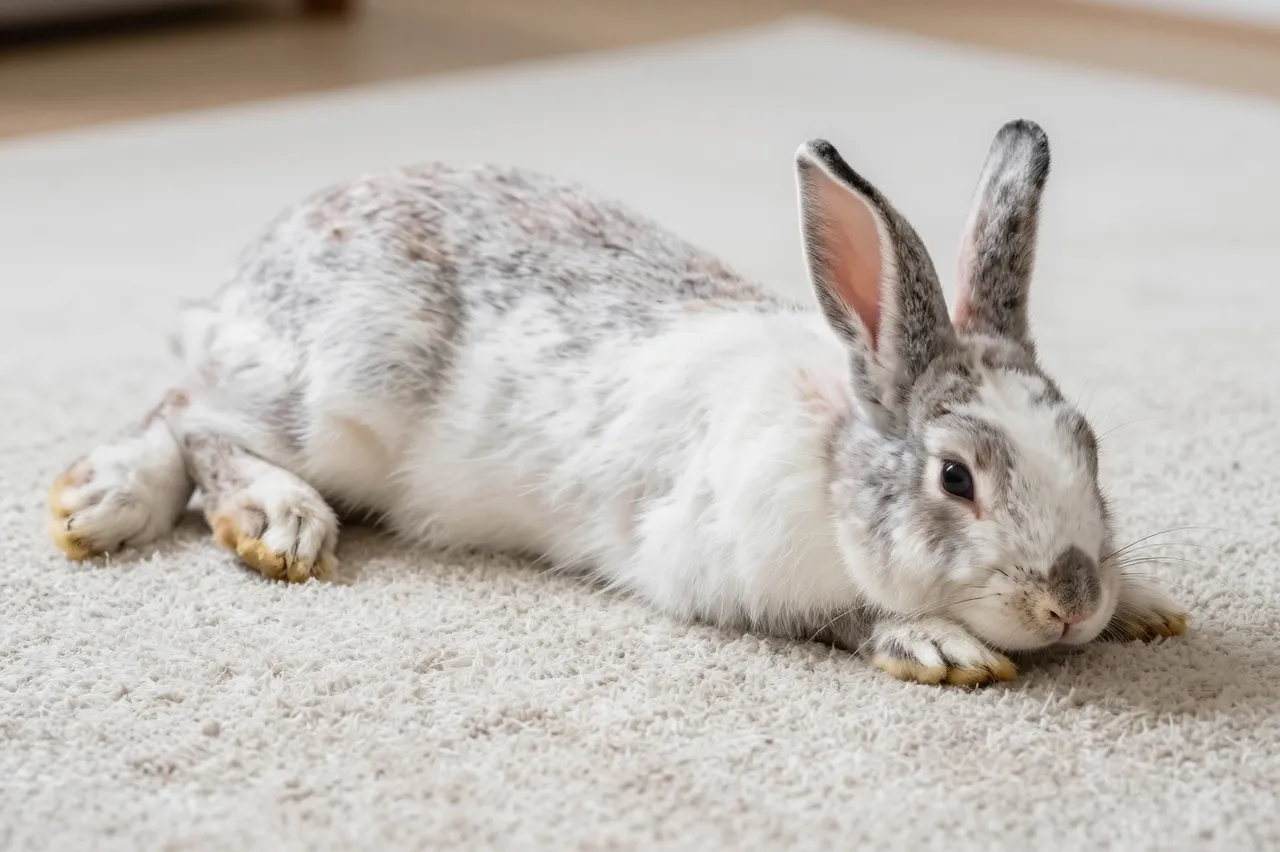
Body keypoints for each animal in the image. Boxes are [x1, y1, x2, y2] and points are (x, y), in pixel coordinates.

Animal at [47, 119, 1187, 686]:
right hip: (339, 398)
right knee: (189, 415)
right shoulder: (723, 573)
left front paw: (1143, 608)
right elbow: (841, 617)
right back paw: (202, 511)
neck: (833, 460)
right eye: (954, 478)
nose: (1070, 602)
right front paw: (937, 646)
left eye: (1088, 447)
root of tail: (248, 276)